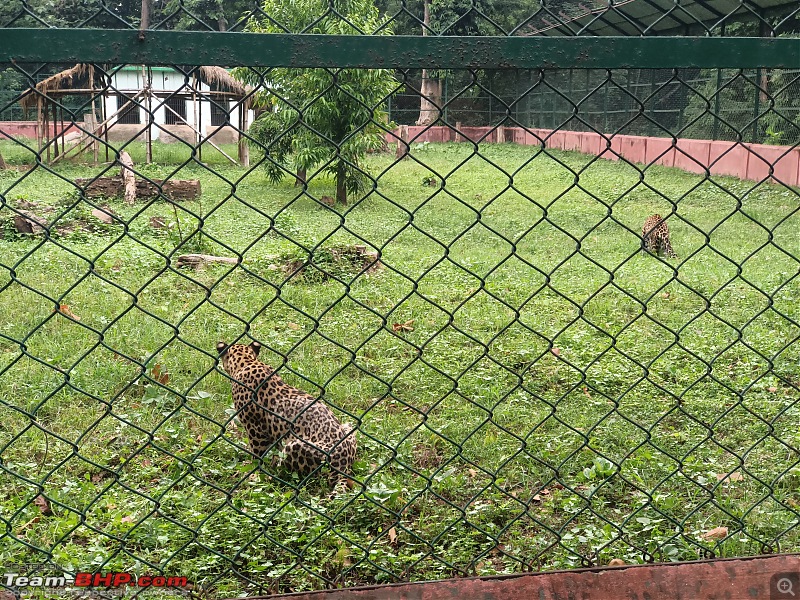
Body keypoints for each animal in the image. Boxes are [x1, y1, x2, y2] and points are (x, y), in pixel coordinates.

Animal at [217, 340, 358, 494]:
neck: (246, 362)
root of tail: (344, 466)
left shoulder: (254, 428)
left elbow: (257, 454)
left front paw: (253, 471)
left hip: (293, 447)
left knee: (284, 472)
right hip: (348, 427)